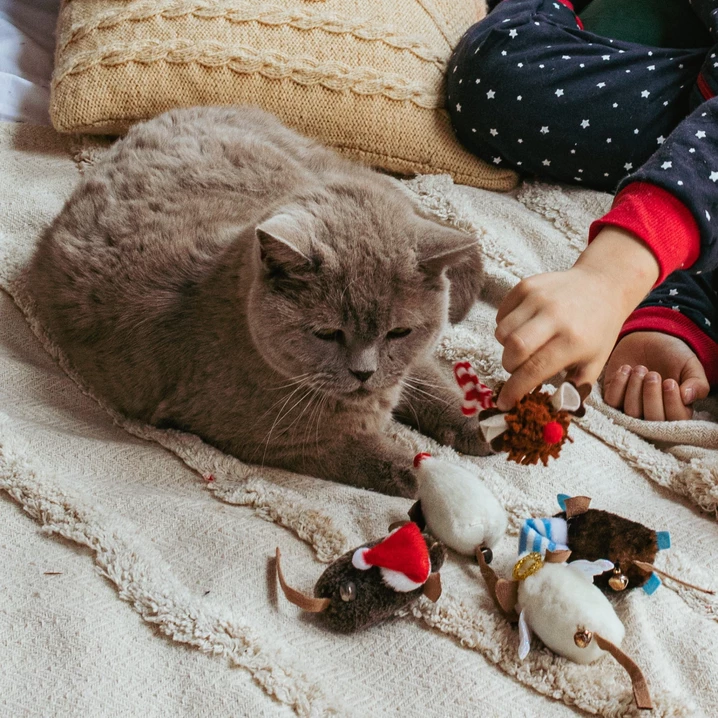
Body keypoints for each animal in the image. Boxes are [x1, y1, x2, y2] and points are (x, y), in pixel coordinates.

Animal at [29, 107, 490, 498]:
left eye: (399, 332)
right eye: (327, 333)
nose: (364, 372)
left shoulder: (407, 368)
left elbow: (429, 382)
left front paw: (475, 426)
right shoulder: (268, 439)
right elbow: (368, 455)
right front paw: (422, 476)